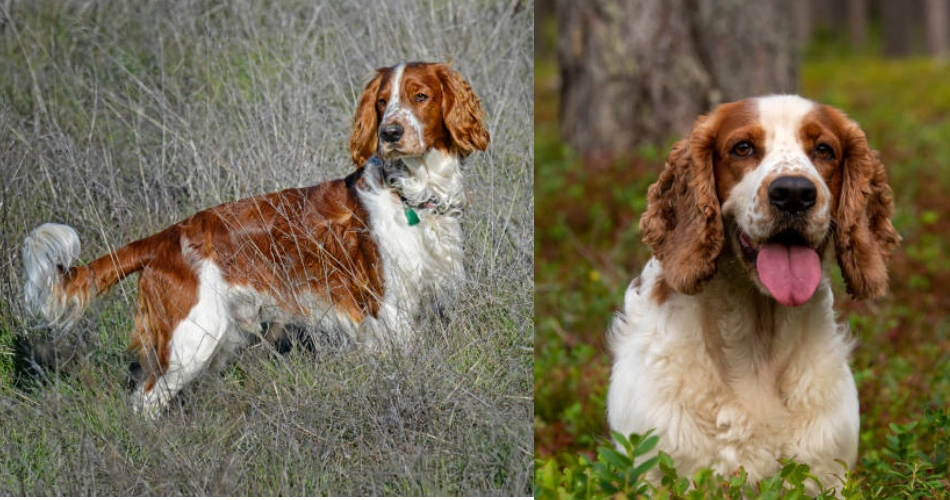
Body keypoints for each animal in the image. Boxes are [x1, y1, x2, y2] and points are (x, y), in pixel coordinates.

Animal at [22, 61, 490, 414]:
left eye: (420, 96)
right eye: (381, 103)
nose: (390, 133)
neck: (410, 191)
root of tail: (166, 238)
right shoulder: (390, 308)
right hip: (192, 337)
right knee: (144, 401)